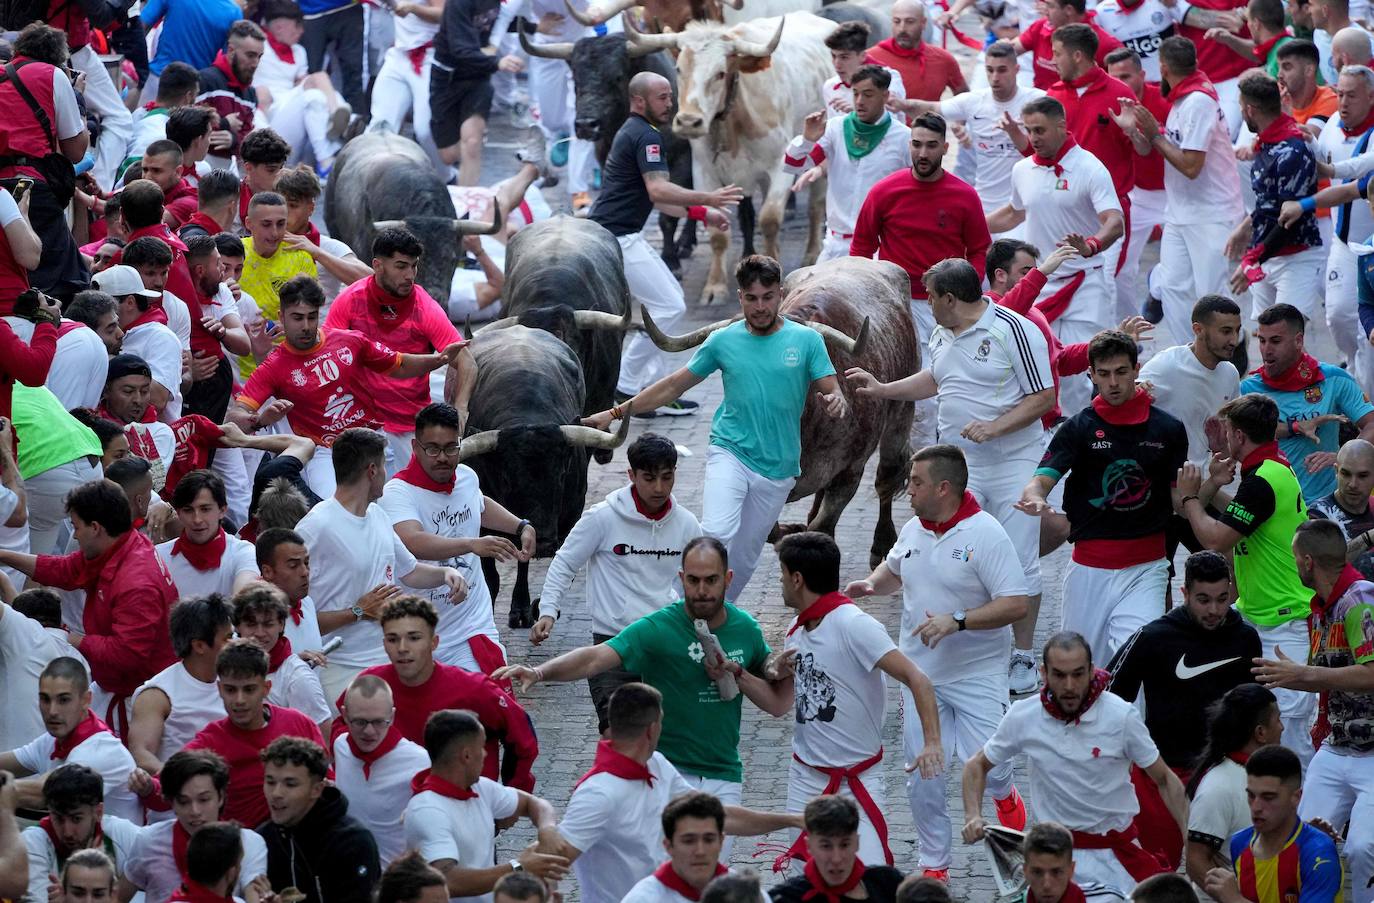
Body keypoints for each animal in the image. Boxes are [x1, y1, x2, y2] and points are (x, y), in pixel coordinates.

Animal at [461, 302, 632, 626]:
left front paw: (536, 606)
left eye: (562, 472)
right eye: (506, 476)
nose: (541, 539)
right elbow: (490, 577)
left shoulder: (571, 509)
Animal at [629, 11, 829, 302]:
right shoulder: (704, 172)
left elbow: (769, 219)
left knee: (816, 205)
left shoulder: (780, 166)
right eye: (678, 69)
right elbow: (717, 233)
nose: (688, 122)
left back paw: (812, 253)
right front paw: (714, 286)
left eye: (720, 73)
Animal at [640, 252, 912, 563]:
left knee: (886, 479)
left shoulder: (850, 473)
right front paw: (792, 532)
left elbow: (822, 525)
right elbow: (770, 529)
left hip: (901, 416)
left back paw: (881, 544)